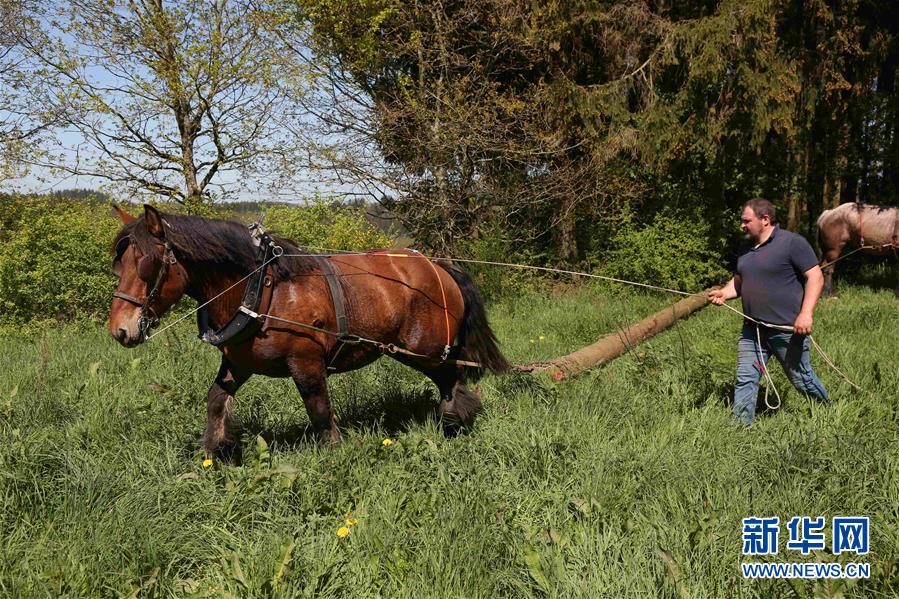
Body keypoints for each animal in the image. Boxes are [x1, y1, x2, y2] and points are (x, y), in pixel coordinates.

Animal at [109, 204, 510, 458]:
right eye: (118, 265)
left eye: (147, 264)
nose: (120, 330)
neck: (262, 289)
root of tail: (439, 267)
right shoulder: (238, 364)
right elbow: (216, 402)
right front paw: (213, 454)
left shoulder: (306, 363)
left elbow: (319, 413)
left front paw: (335, 458)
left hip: (427, 351)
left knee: (452, 382)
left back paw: (456, 424)